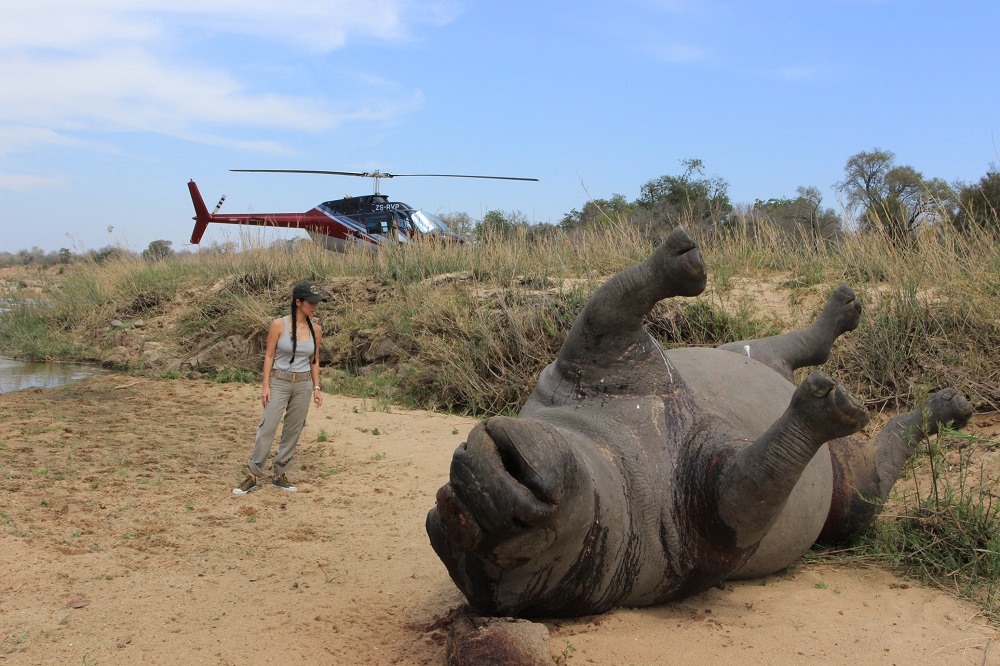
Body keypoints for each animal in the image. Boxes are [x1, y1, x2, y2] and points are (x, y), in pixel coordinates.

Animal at [426, 226, 972, 616]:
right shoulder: (713, 516)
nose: (477, 479)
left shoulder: (591, 360)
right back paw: (932, 409)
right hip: (851, 493)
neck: (609, 457)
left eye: (460, 472)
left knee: (784, 348)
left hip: (740, 353)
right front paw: (825, 411)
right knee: (866, 483)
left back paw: (844, 312)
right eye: (516, 535)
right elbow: (764, 474)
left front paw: (677, 263)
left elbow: (613, 299)